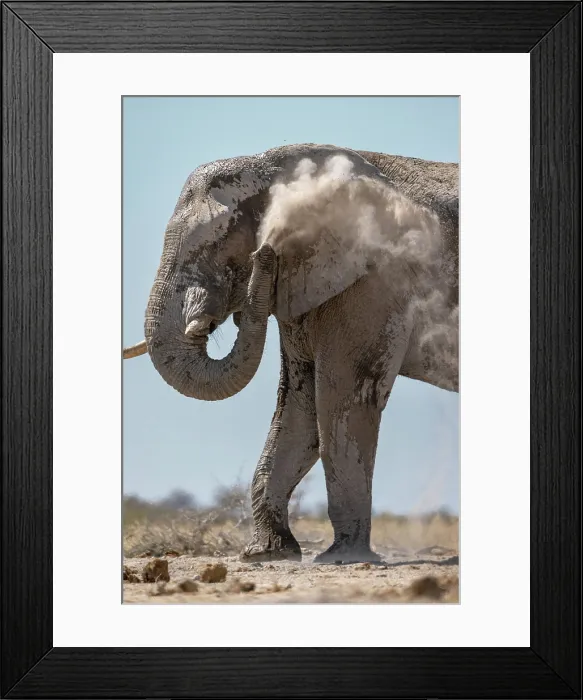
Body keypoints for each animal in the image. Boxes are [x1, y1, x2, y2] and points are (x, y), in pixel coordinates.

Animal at [123, 143, 459, 564]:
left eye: (217, 244)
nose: (265, 254)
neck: (276, 163)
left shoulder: (373, 282)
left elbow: (343, 401)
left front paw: (342, 558)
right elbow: (300, 407)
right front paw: (266, 554)